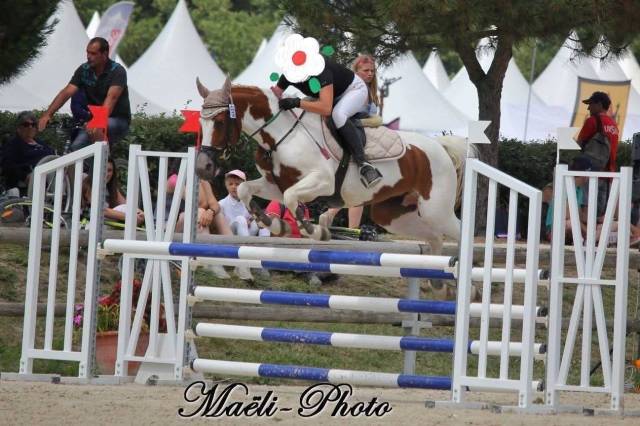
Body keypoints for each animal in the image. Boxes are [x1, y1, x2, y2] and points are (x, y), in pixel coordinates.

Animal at [195, 77, 471, 269]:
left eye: (219, 122)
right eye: (201, 122)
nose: (202, 167)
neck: (281, 134)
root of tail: (441, 147)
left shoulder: (322, 182)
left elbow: (292, 199)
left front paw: (316, 230)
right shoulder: (275, 184)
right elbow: (245, 189)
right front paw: (273, 223)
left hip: (436, 210)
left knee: (457, 233)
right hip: (393, 215)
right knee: (434, 239)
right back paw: (437, 283)